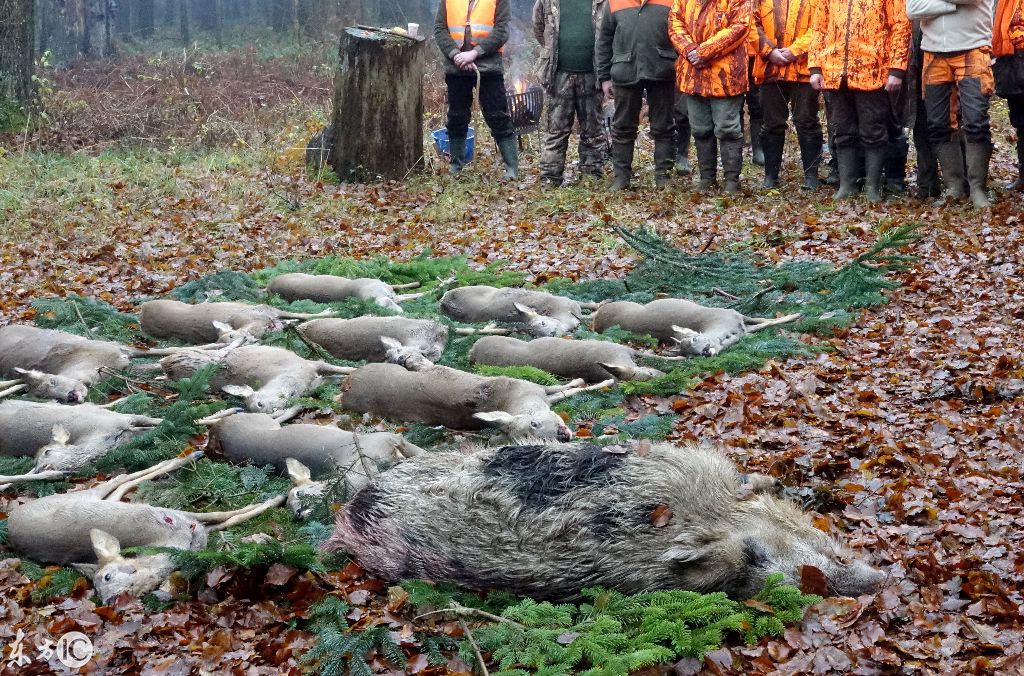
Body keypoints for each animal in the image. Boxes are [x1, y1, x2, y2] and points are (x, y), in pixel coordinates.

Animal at [4, 454, 284, 602]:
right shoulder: (191, 527)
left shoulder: (179, 518)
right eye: (96, 591)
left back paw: (188, 456)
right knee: (119, 487)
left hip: (86, 497)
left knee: (118, 480)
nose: (110, 601)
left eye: (107, 577)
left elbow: (224, 514)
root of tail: (11, 521)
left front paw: (273, 500)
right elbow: (225, 520)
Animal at [337, 364, 606, 444]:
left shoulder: (532, 386)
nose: (563, 435)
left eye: (534, 423)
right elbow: (568, 391)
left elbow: (567, 387)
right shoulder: (534, 388)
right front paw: (603, 381)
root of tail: (347, 388)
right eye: (531, 431)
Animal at [593, 299, 806, 356]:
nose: (703, 351)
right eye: (688, 354)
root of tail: (596, 320)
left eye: (695, 338)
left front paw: (796, 315)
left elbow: (765, 319)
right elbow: (766, 322)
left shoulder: (734, 313)